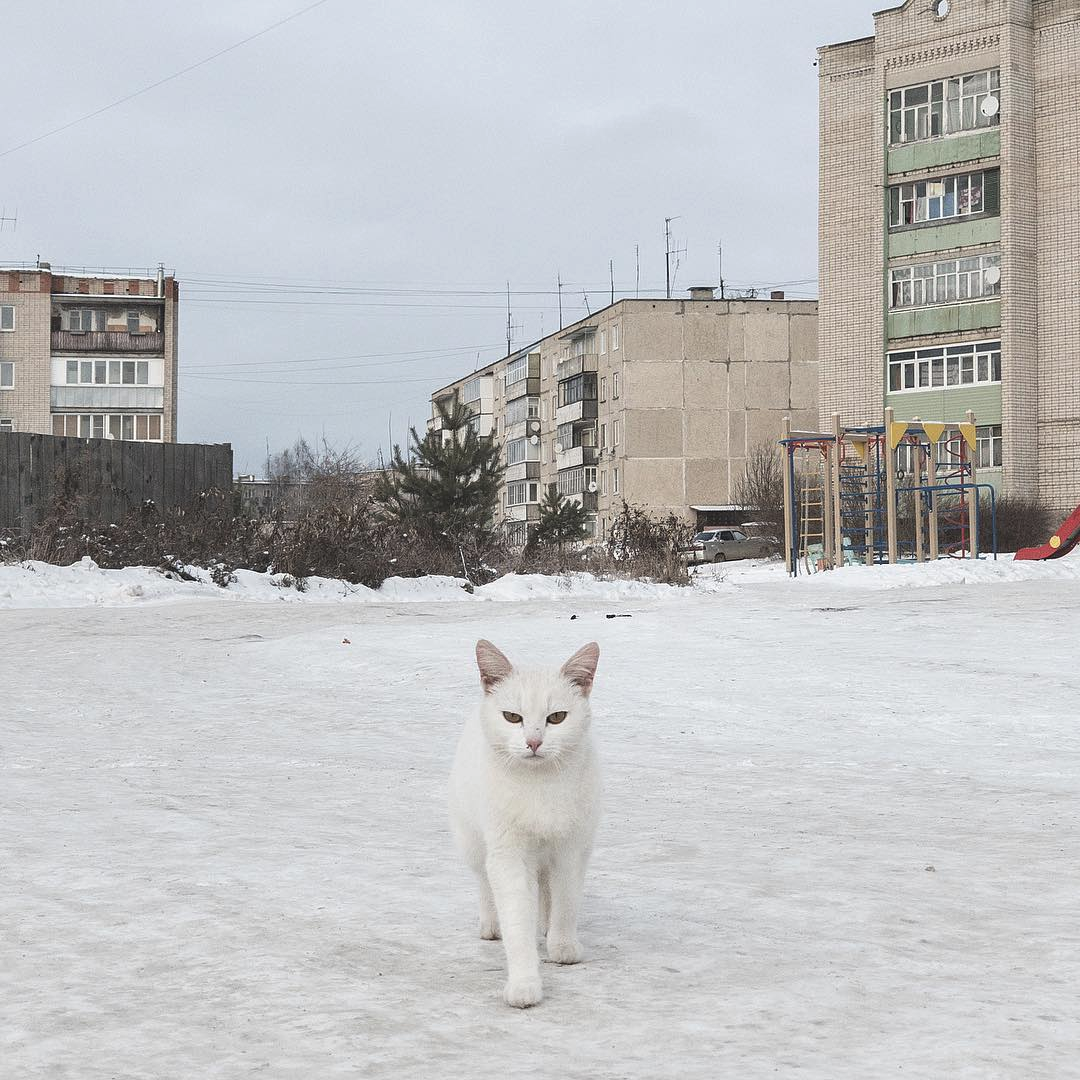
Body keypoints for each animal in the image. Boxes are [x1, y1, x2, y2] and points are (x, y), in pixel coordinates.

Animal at [447, 635, 600, 1006]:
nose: (533, 742)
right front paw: (524, 983)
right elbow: (516, 916)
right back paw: (492, 924)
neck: (539, 786)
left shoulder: (571, 848)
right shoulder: (508, 854)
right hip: (473, 841)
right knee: (485, 882)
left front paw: (563, 945)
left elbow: (566, 899)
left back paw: (545, 924)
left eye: (557, 717)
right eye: (511, 717)